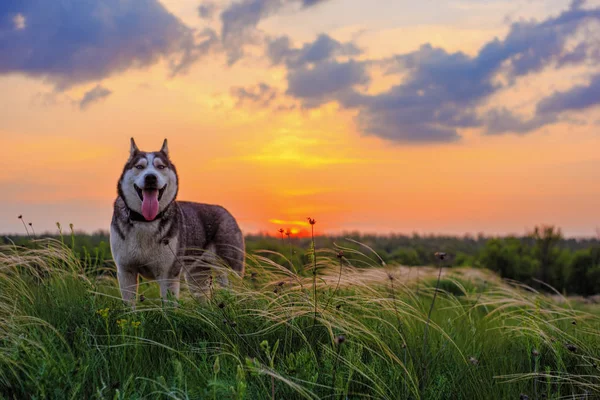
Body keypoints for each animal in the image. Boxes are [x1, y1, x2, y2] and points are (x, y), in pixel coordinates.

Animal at [110, 138, 244, 306]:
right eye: (139, 167)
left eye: (160, 166)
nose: (150, 177)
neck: (146, 221)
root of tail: (227, 213)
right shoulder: (125, 271)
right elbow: (129, 306)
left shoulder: (168, 273)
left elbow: (168, 307)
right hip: (196, 274)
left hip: (228, 269)